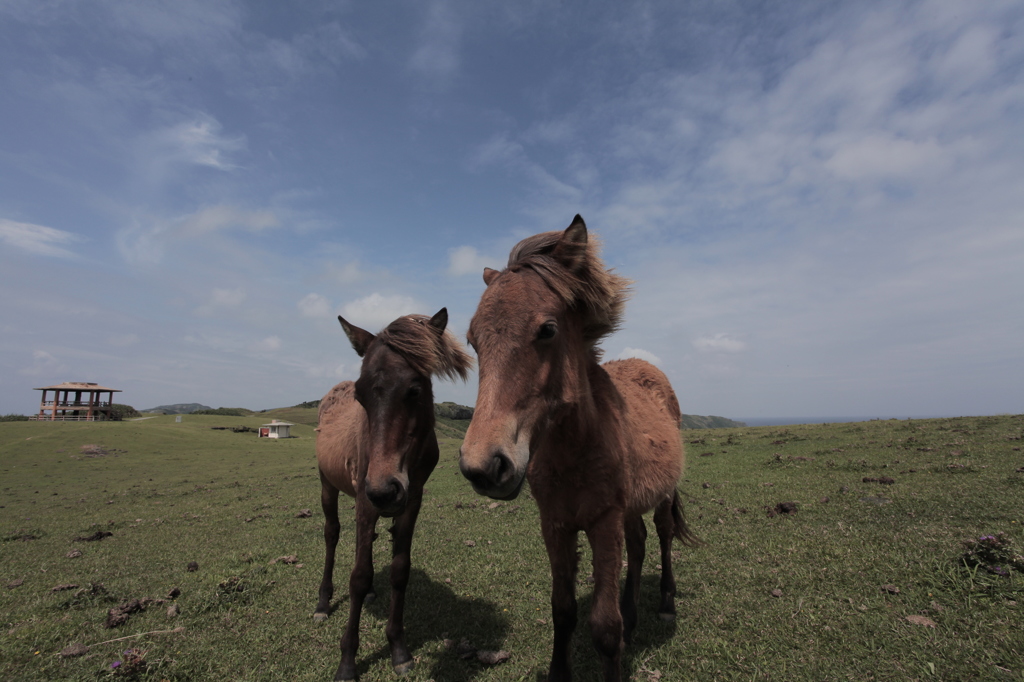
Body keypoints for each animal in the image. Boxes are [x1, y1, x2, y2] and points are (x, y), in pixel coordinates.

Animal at [315, 309, 471, 679]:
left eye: (414, 390)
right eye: (360, 396)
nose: (384, 490)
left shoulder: (412, 500)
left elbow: (400, 570)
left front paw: (398, 649)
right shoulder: (365, 500)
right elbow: (357, 576)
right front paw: (347, 661)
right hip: (328, 484)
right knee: (332, 534)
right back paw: (323, 602)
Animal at [460, 215, 700, 675]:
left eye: (547, 330)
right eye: (473, 340)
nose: (484, 467)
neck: (574, 452)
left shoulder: (603, 522)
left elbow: (604, 627)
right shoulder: (556, 524)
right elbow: (563, 610)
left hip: (660, 496)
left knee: (662, 535)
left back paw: (665, 603)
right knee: (639, 543)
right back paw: (634, 619)